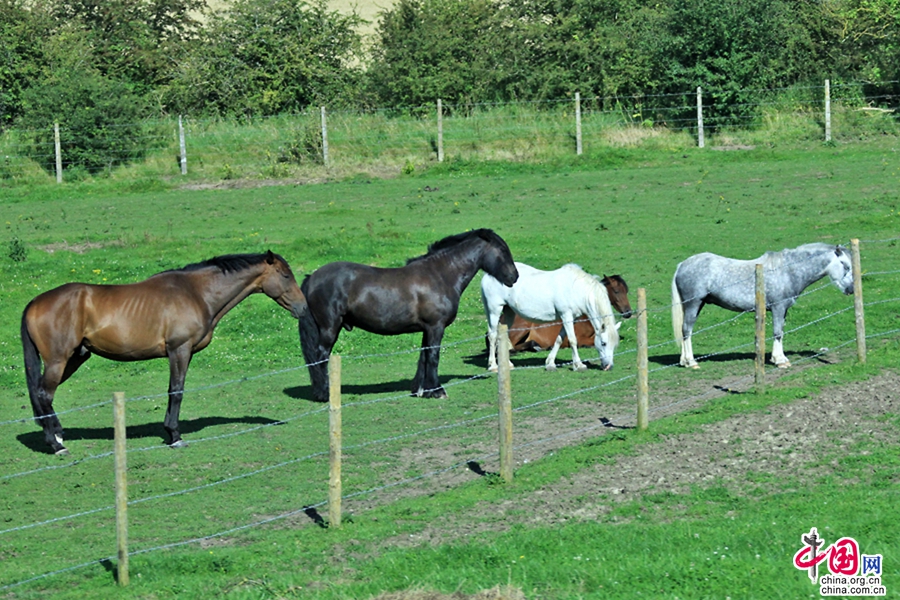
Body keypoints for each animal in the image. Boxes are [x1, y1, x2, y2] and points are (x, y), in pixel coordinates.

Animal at [19, 251, 308, 452]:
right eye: (285, 275)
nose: (303, 307)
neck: (196, 293)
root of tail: (35, 302)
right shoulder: (179, 350)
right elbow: (176, 391)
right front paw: (175, 436)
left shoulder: (181, 353)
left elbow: (172, 391)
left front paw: (170, 432)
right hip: (58, 360)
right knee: (44, 394)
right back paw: (56, 445)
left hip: (75, 358)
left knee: (42, 395)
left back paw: (57, 434)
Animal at [300, 230, 516, 404]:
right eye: (502, 250)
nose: (515, 277)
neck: (440, 275)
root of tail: (312, 277)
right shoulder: (436, 327)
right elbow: (433, 357)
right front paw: (437, 391)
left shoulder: (427, 329)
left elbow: (424, 356)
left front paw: (421, 390)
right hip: (330, 328)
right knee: (320, 356)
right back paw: (324, 394)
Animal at [482, 262, 624, 370]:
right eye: (604, 343)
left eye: (615, 344)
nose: (608, 366)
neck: (575, 289)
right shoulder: (566, 316)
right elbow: (573, 340)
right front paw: (578, 365)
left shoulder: (569, 319)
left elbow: (559, 339)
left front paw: (550, 363)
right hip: (494, 310)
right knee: (493, 336)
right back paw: (493, 366)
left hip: (509, 311)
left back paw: (508, 364)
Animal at [672, 241, 856, 368]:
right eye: (845, 265)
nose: (851, 289)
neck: (787, 270)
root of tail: (682, 265)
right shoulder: (778, 308)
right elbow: (777, 332)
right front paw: (780, 360)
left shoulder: (783, 310)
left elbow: (780, 332)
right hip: (693, 304)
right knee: (686, 330)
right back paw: (691, 362)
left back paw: (684, 361)